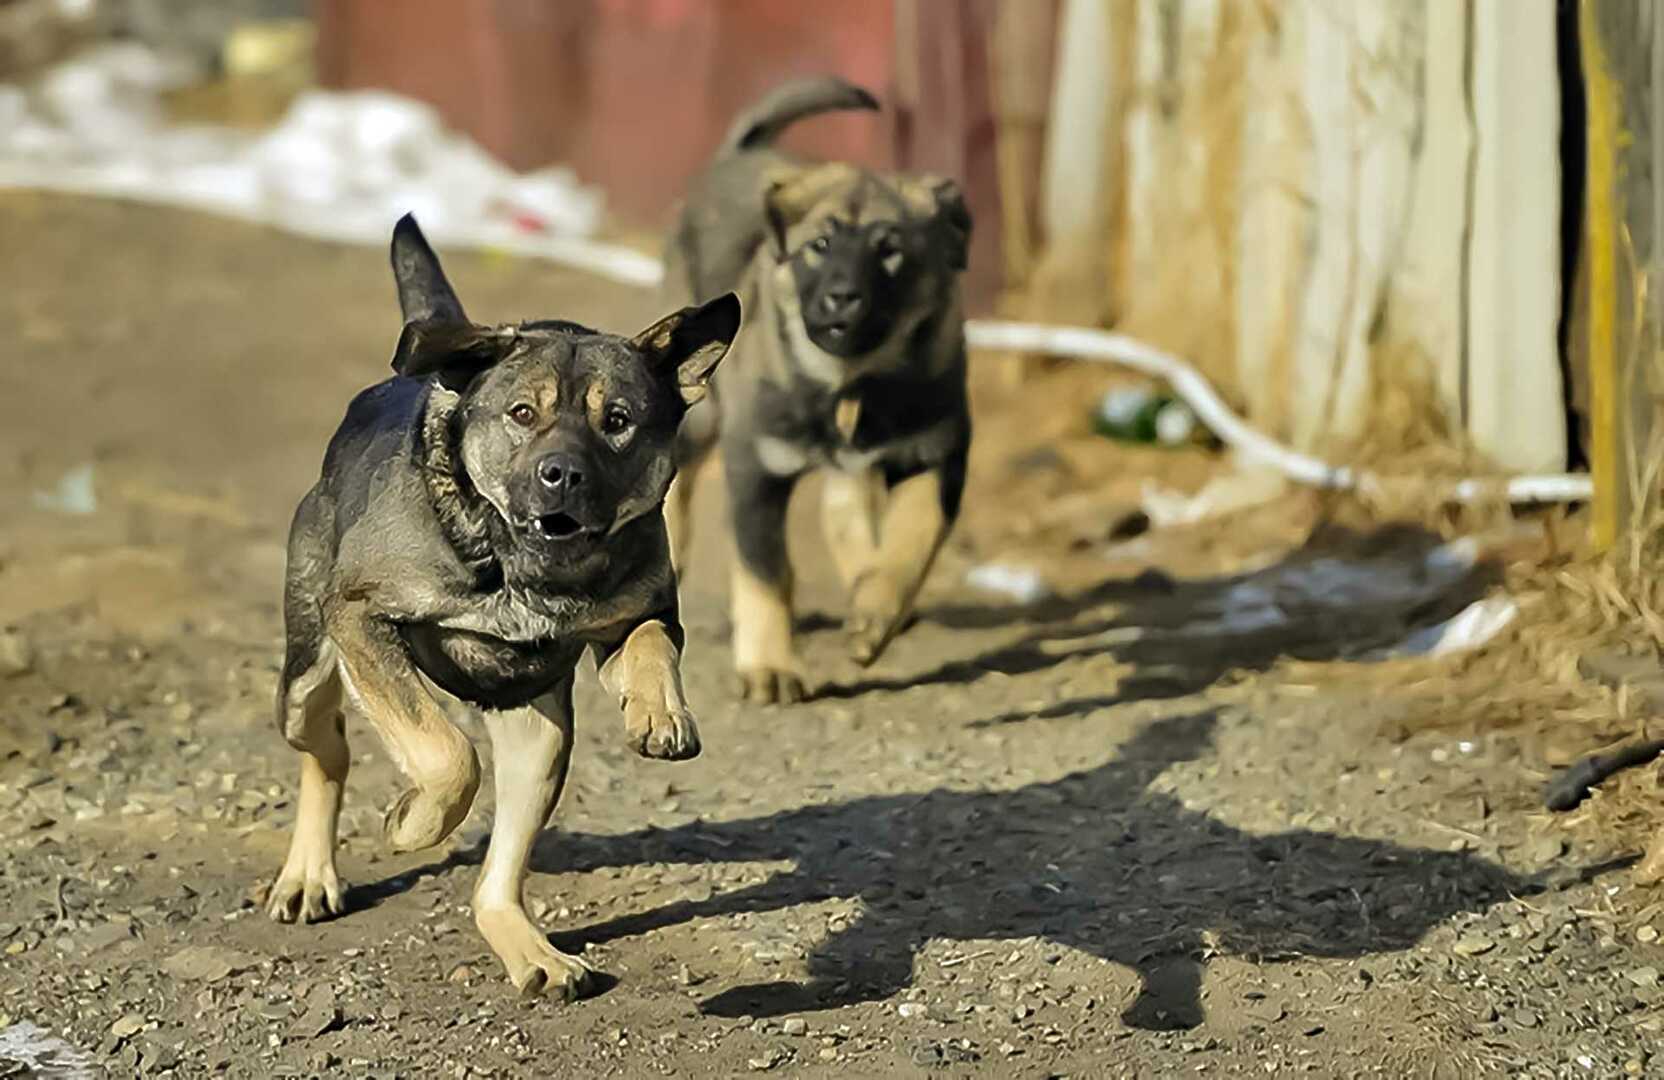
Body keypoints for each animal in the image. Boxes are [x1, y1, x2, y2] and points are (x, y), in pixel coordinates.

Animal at [269, 214, 738, 998]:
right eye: (523, 414)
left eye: (619, 420)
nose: (562, 475)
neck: (517, 567)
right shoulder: (362, 617)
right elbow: (447, 755)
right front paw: (411, 821)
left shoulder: (636, 613)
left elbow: (648, 642)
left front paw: (661, 716)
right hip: (306, 670)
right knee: (327, 750)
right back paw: (309, 874)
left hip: (539, 736)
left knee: (498, 878)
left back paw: (533, 951)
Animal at [662, 73, 971, 698]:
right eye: (819, 247)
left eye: (890, 249)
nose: (841, 299)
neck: (848, 381)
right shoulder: (755, 465)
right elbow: (764, 570)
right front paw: (770, 667)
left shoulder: (936, 451)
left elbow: (913, 537)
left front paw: (875, 614)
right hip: (700, 412)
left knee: (845, 503)